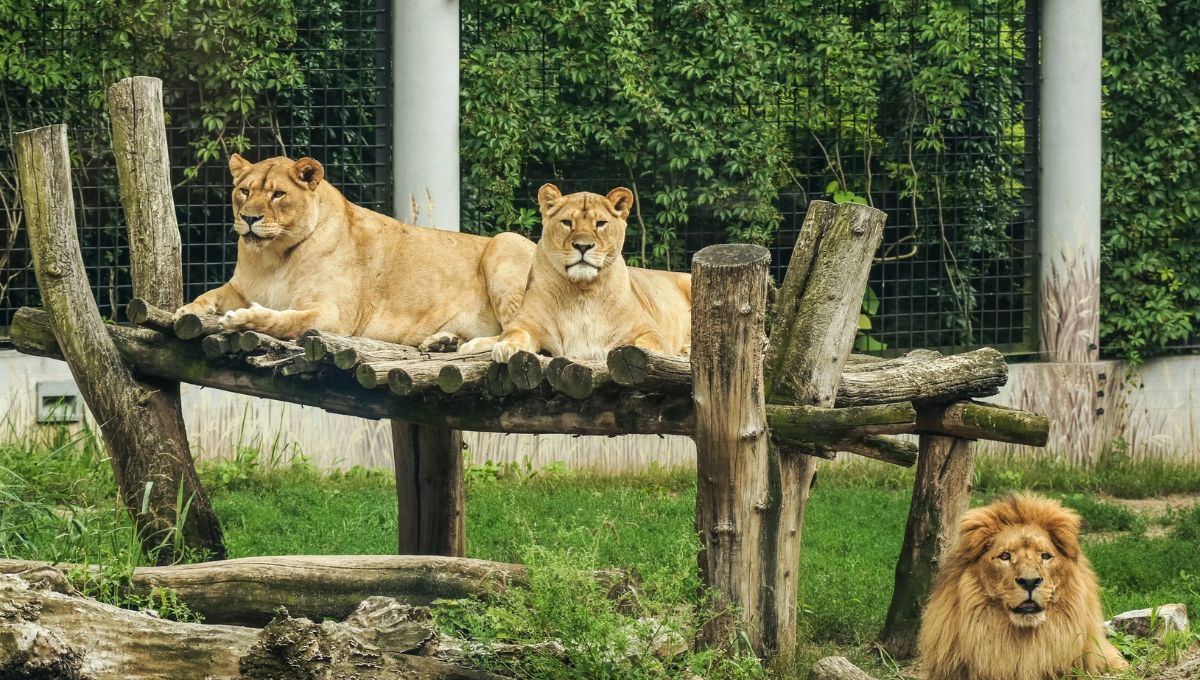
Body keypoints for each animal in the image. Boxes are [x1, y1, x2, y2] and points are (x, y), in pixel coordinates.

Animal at [175, 154, 535, 349]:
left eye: (278, 194)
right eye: (244, 191)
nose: (249, 219)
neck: (275, 257)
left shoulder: (333, 314)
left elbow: (288, 320)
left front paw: (243, 318)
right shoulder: (238, 288)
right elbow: (208, 295)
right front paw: (185, 311)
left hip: (505, 242)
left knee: (529, 339)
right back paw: (443, 342)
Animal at [459, 183, 691, 362]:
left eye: (600, 223)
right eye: (567, 222)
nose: (583, 246)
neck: (582, 291)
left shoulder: (648, 330)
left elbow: (647, 345)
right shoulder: (525, 323)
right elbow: (513, 333)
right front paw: (507, 348)